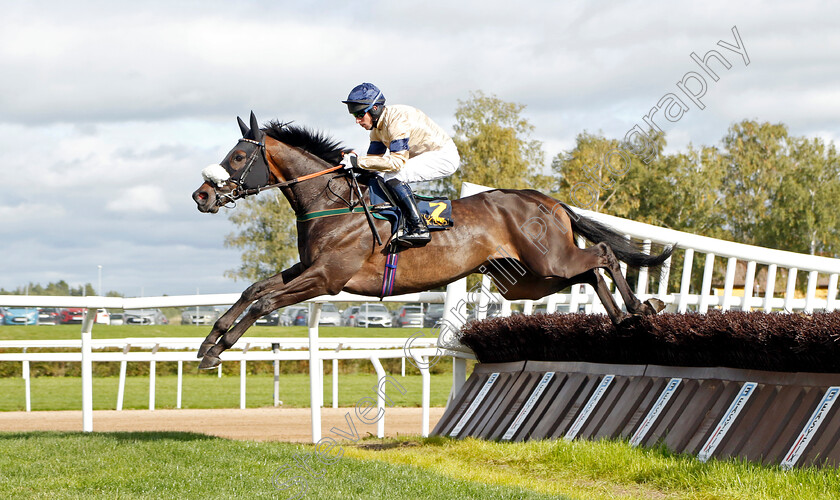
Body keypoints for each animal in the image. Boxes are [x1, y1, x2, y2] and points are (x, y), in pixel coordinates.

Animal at [192, 114, 676, 372]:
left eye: (238, 156)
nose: (203, 195)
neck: (333, 202)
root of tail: (546, 199)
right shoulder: (308, 268)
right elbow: (254, 290)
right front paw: (210, 343)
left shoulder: (327, 278)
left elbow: (263, 302)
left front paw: (217, 350)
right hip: (531, 279)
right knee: (590, 270)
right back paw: (622, 319)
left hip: (549, 259)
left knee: (603, 255)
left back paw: (639, 308)